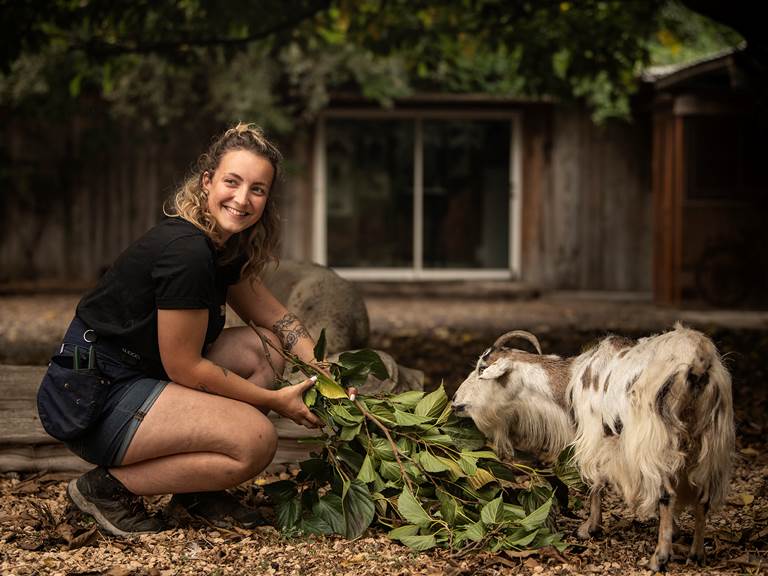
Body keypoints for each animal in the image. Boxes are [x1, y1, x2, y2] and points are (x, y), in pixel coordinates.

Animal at [452, 324, 736, 572]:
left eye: (482, 368)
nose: (455, 401)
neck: (570, 381)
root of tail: (697, 361)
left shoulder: (594, 437)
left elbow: (594, 484)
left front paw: (589, 528)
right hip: (710, 442)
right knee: (702, 496)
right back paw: (696, 554)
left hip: (655, 440)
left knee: (666, 493)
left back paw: (659, 557)